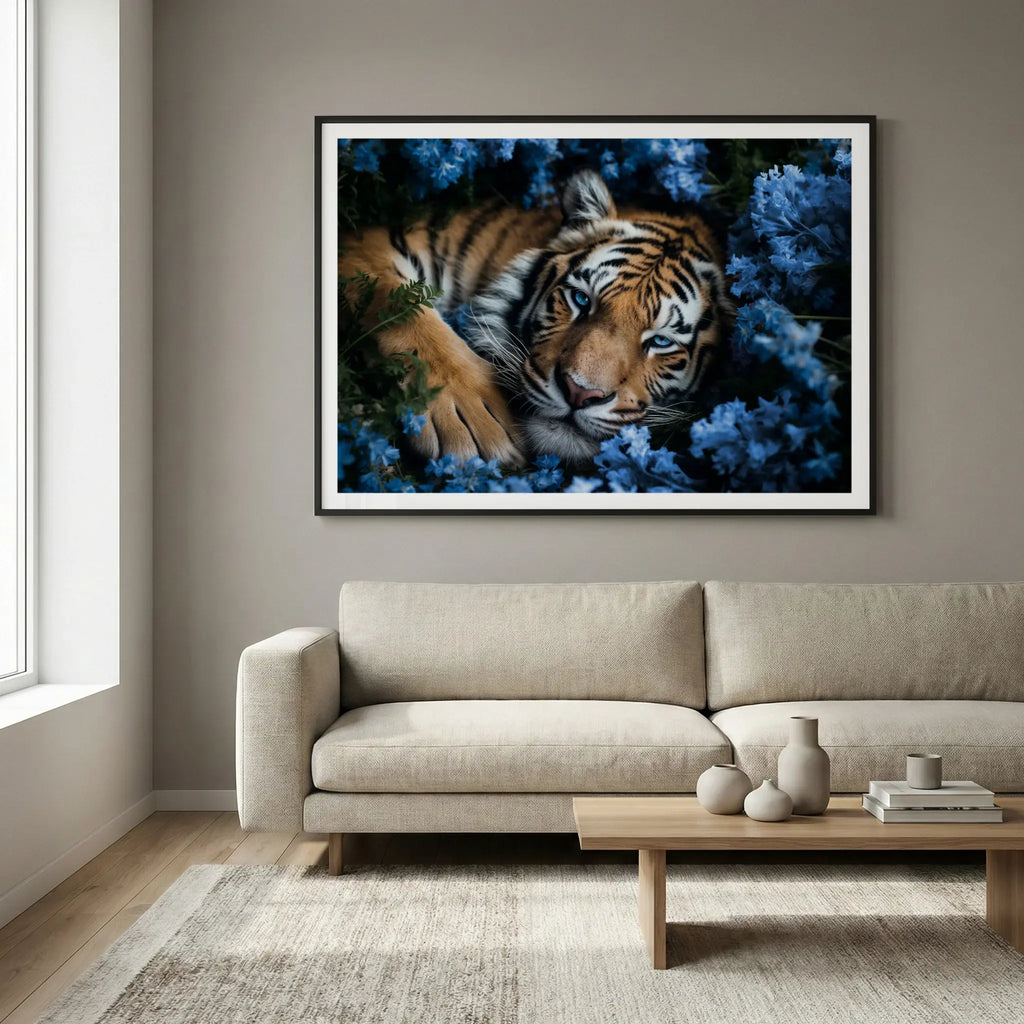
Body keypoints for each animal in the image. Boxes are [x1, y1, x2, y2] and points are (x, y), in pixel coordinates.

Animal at [338, 169, 732, 468]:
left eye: (661, 341)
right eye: (581, 299)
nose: (579, 393)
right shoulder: (373, 241)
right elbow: (400, 307)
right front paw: (468, 414)